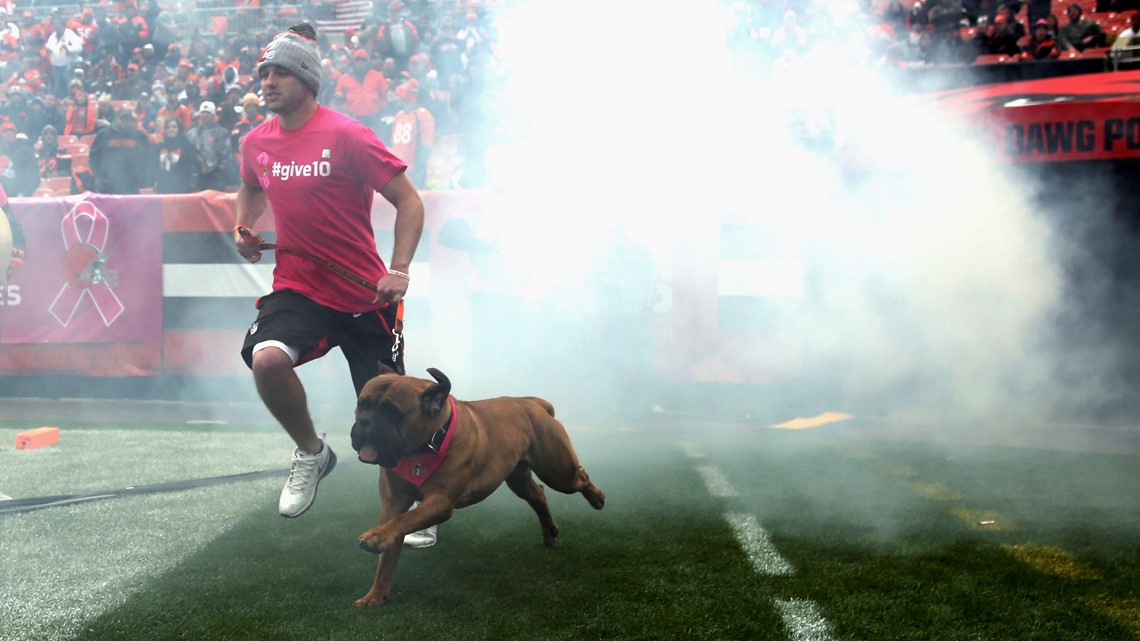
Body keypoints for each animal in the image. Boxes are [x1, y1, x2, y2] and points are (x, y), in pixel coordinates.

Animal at [348, 364, 606, 602]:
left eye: (392, 412)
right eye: (362, 404)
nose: (365, 423)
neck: (425, 444)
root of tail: (533, 403)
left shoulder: (440, 502)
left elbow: (407, 519)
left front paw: (376, 537)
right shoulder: (393, 504)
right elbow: (389, 555)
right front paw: (375, 595)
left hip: (558, 472)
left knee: (579, 477)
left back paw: (597, 497)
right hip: (518, 478)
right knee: (538, 494)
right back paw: (549, 532)